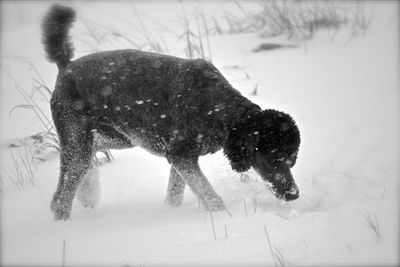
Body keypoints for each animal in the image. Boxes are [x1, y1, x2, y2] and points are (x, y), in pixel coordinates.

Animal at [43, 4, 300, 222]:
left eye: (291, 160)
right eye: (273, 158)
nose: (294, 194)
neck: (220, 111)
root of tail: (66, 67)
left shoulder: (179, 158)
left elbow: (176, 193)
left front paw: (170, 212)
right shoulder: (182, 156)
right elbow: (209, 195)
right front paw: (222, 217)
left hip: (119, 137)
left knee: (90, 154)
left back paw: (88, 194)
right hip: (77, 138)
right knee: (60, 198)